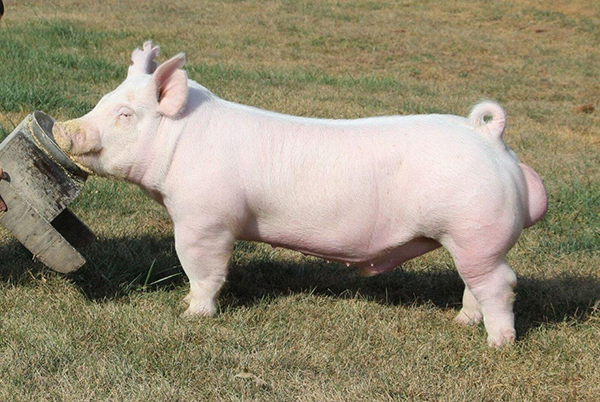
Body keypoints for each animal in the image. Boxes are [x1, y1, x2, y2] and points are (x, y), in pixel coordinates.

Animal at [53, 41, 548, 347]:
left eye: (124, 114)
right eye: (103, 99)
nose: (63, 127)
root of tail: (489, 136)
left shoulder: (205, 219)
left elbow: (202, 269)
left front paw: (192, 314)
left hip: (476, 230)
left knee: (501, 284)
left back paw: (498, 344)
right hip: (468, 240)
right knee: (474, 283)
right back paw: (461, 322)